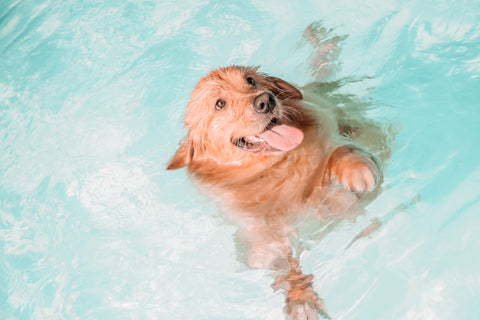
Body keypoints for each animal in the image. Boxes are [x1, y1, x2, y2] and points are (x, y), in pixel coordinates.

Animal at [169, 65, 386, 320]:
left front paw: (354, 167)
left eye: (251, 81)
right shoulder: (265, 237)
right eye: (219, 104)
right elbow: (283, 263)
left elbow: (335, 151)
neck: (275, 166)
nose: (265, 100)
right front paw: (300, 298)